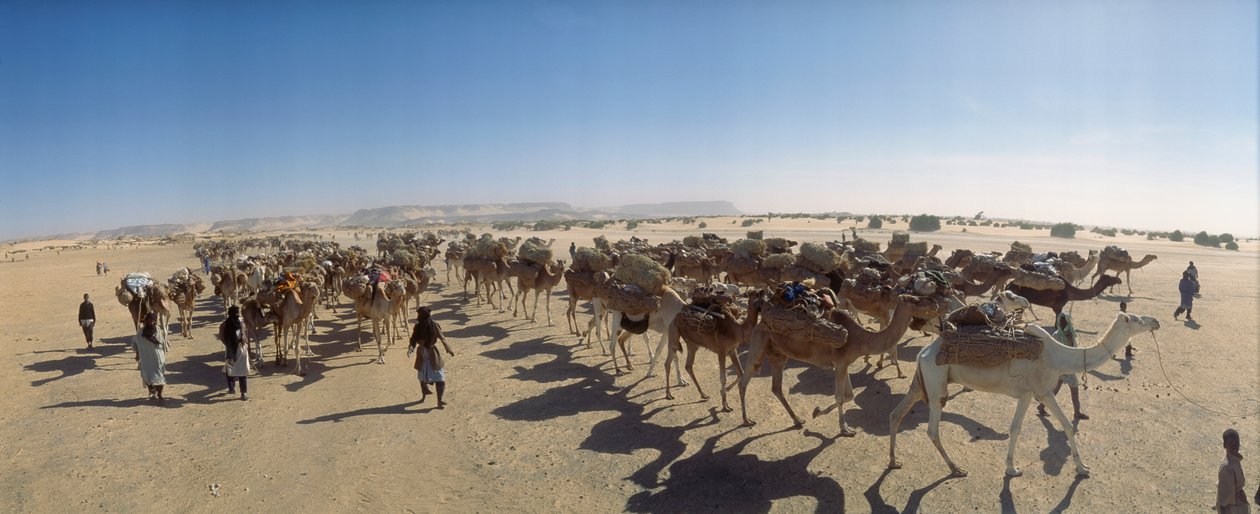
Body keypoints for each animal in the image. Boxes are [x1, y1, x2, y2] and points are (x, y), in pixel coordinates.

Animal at [737, 294, 943, 436]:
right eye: (916, 300)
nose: (934, 302)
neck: (863, 338)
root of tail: (761, 318)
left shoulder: (844, 364)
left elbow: (849, 395)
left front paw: (817, 412)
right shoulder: (841, 363)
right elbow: (840, 397)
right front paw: (845, 429)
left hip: (778, 354)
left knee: (776, 387)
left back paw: (798, 420)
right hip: (759, 341)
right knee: (744, 381)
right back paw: (747, 420)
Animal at [888, 313, 1161, 478]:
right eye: (1135, 319)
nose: (1155, 321)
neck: (1058, 356)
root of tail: (924, 351)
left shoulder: (1035, 393)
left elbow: (1041, 426)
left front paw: (1080, 468)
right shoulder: (1036, 392)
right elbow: (1042, 426)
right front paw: (1015, 469)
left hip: (921, 381)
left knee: (896, 414)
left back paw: (893, 461)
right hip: (936, 384)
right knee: (932, 429)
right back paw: (956, 469)